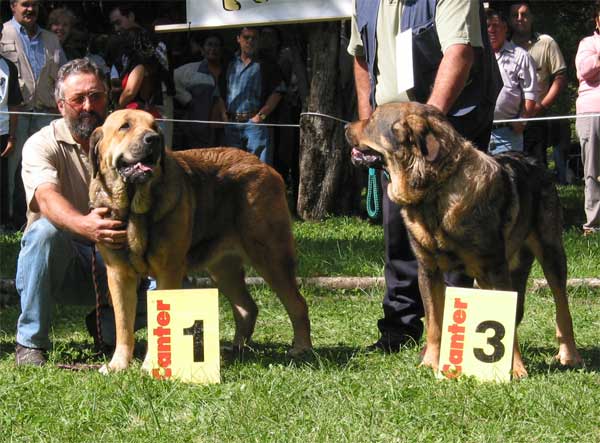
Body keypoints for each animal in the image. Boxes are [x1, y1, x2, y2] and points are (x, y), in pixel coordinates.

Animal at [89, 109, 314, 372]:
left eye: (154, 127)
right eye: (125, 126)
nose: (152, 139)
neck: (134, 210)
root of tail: (267, 167)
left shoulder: (168, 271)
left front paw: (152, 365)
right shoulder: (118, 274)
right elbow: (123, 324)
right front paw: (117, 365)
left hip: (271, 256)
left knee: (297, 303)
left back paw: (301, 348)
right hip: (222, 268)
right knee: (247, 307)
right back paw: (234, 350)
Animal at [344, 103, 584, 378]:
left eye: (372, 120)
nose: (345, 126)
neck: (435, 190)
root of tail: (535, 160)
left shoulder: (496, 268)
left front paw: (515, 368)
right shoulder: (428, 270)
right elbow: (434, 323)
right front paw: (431, 361)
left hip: (550, 252)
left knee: (562, 308)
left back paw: (569, 355)